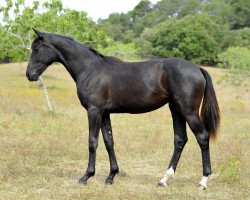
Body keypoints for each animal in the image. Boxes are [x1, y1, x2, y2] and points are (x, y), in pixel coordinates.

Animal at [26, 29, 220, 189]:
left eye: (36, 48)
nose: (29, 75)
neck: (90, 69)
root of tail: (197, 68)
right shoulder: (104, 113)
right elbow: (109, 142)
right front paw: (111, 176)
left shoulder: (94, 111)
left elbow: (92, 142)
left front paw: (86, 176)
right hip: (176, 110)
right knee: (180, 140)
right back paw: (164, 180)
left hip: (189, 111)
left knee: (202, 137)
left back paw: (203, 181)